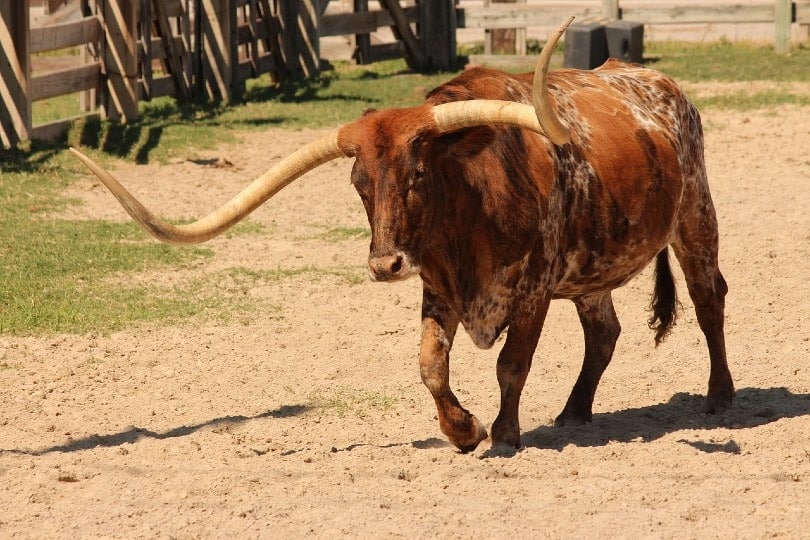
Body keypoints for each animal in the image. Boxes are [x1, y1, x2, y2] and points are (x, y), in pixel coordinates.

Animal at [70, 19, 734, 452]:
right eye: (358, 183)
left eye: (417, 174)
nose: (384, 264)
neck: (473, 208)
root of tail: (658, 82)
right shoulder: (438, 288)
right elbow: (429, 367)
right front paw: (463, 430)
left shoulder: (534, 290)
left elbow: (512, 365)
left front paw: (505, 434)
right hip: (593, 267)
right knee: (604, 332)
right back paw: (574, 413)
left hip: (696, 214)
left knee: (709, 300)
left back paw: (721, 396)